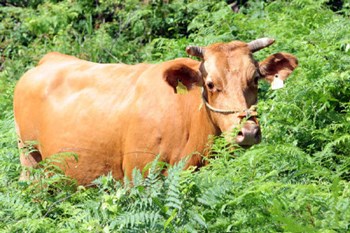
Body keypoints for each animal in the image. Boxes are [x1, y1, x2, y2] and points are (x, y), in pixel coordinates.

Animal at [14, 38, 298, 185]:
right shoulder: (137, 175)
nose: (247, 131)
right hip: (30, 159)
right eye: (210, 84)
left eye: (255, 79)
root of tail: (50, 58)